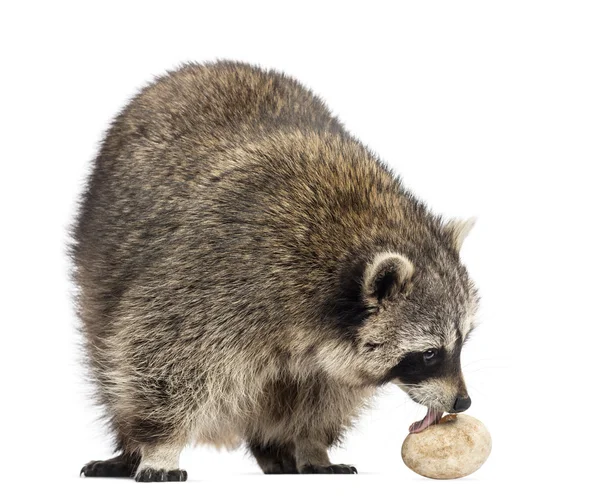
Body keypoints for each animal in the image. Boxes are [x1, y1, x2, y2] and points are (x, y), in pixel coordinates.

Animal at [74, 60, 478, 482]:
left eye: (462, 342)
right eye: (429, 353)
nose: (462, 402)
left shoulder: (325, 357)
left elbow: (325, 397)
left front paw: (312, 444)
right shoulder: (215, 280)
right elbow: (162, 359)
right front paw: (160, 446)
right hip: (100, 261)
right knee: (110, 359)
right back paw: (128, 446)